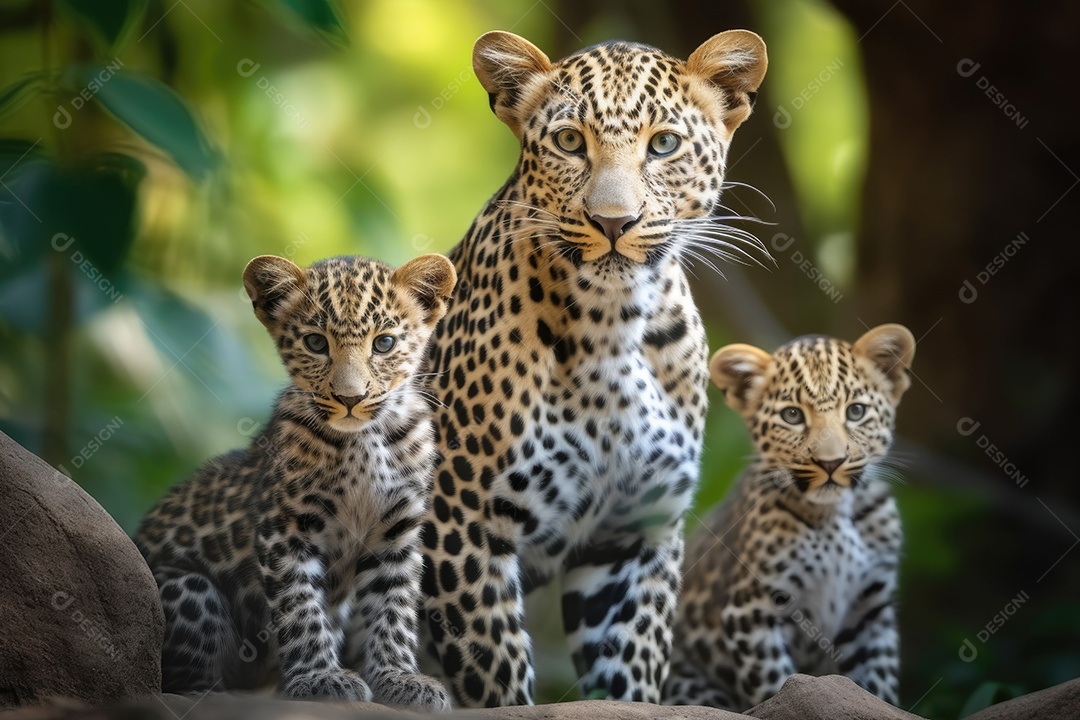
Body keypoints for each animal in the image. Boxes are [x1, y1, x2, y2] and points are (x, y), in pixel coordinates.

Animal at [134, 253, 456, 711]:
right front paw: (319, 678)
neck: (365, 439)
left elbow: (393, 607)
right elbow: (299, 606)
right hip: (187, 587)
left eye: (384, 344)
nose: (350, 398)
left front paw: (399, 678)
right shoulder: (284, 528)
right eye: (316, 343)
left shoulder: (396, 530)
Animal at [419, 29, 768, 707]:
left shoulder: (637, 533)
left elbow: (631, 673)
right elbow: (495, 674)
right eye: (569, 141)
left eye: (663, 144)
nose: (613, 222)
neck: (613, 325)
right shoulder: (462, 522)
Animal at [663, 324, 916, 710]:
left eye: (856, 411)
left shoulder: (870, 608)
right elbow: (777, 685)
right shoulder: (752, 611)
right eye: (792, 416)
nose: (831, 463)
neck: (833, 515)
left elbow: (877, 685)